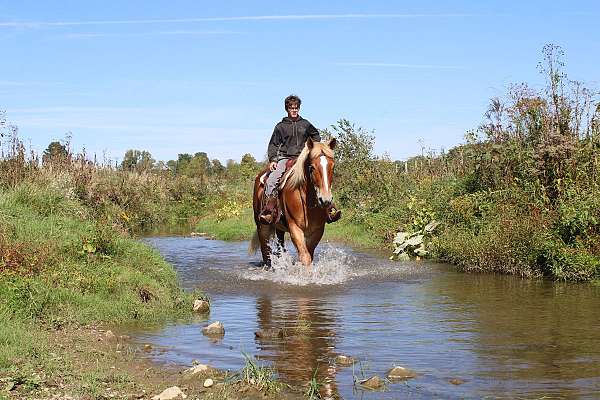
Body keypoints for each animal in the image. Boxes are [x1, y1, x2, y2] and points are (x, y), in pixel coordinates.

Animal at [248, 138, 338, 268]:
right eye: (312, 167)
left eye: (333, 167)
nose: (325, 200)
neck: (307, 201)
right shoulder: (295, 228)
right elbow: (305, 257)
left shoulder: (317, 230)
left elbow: (309, 255)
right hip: (261, 225)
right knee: (265, 251)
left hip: (278, 226)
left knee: (280, 246)